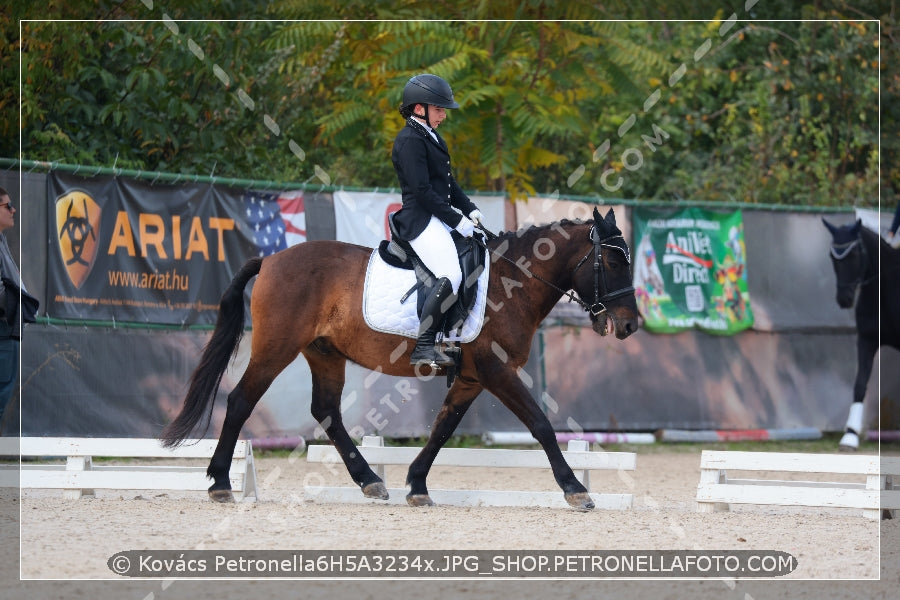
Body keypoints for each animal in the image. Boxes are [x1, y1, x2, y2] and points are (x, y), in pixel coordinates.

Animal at [162, 205, 640, 506]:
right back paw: (221, 482)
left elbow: (443, 429)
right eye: (615, 263)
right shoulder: (496, 370)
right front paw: (575, 488)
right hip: (275, 348)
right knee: (241, 401)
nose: (630, 325)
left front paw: (417, 484)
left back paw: (371, 481)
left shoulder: (471, 377)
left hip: (324, 353)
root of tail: (272, 258)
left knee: (327, 412)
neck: (515, 282)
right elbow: (541, 425)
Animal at [824, 219, 900, 450]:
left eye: (856, 253)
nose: (844, 299)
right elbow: (860, 384)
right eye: (832, 256)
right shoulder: (866, 340)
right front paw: (850, 435)